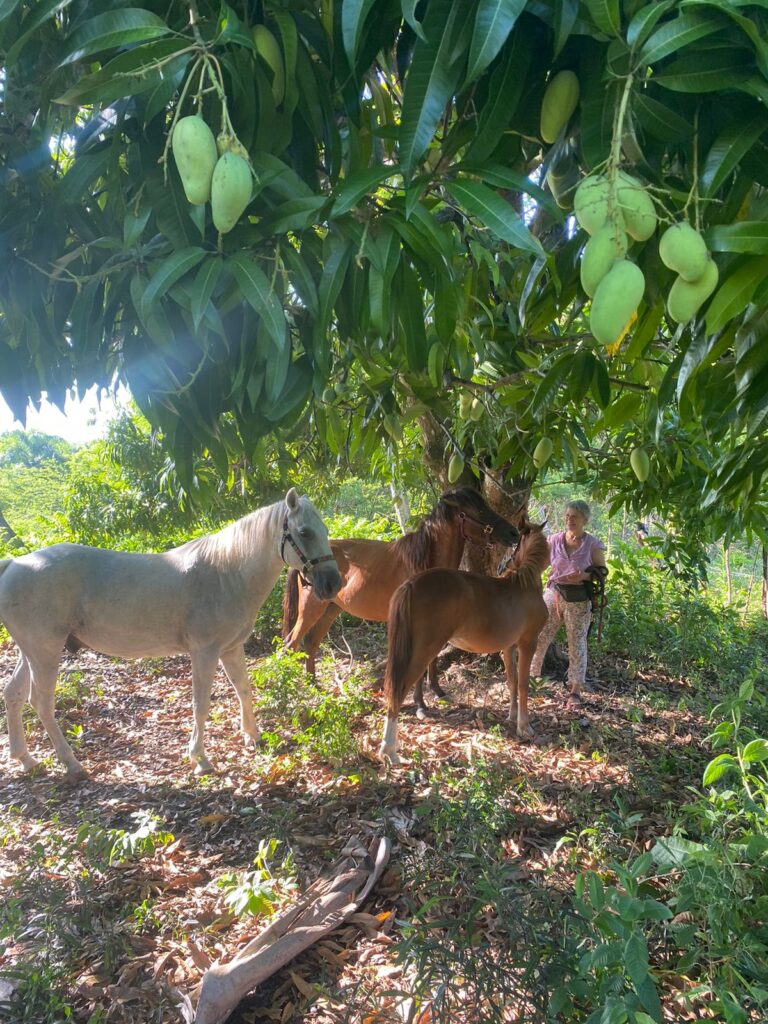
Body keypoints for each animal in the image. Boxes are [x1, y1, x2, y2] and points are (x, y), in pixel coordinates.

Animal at [0, 488, 341, 781]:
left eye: (324, 530)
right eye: (305, 532)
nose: (333, 584)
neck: (227, 573)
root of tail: (14, 563)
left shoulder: (231, 649)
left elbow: (243, 689)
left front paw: (253, 736)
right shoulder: (205, 652)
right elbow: (201, 704)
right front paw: (200, 759)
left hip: (30, 652)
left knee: (14, 694)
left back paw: (26, 760)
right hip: (45, 652)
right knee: (41, 702)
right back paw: (71, 763)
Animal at [281, 488, 520, 707]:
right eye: (479, 510)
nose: (514, 533)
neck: (424, 563)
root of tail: (304, 562)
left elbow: (432, 658)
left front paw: (437, 690)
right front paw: (420, 703)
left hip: (332, 608)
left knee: (311, 642)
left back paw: (314, 685)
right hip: (311, 608)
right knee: (291, 643)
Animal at [379, 521, 550, 764]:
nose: (506, 563)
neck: (523, 584)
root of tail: (412, 583)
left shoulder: (509, 648)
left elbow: (512, 681)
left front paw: (512, 716)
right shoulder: (528, 643)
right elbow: (524, 684)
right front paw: (524, 727)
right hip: (424, 650)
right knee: (398, 689)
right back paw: (389, 751)